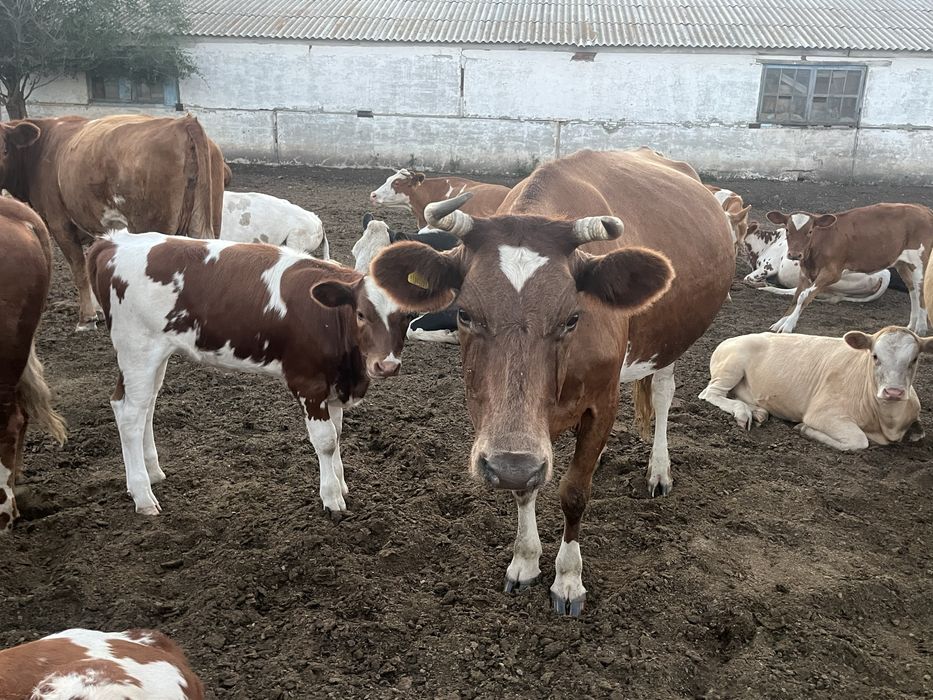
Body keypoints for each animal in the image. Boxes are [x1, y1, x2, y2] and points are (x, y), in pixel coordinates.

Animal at [88, 231, 409, 518]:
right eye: (361, 314)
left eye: (406, 316)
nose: (386, 365)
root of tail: (114, 241)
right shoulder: (308, 382)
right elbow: (327, 440)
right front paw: (331, 499)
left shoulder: (334, 384)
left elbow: (338, 434)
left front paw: (341, 485)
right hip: (136, 349)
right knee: (130, 414)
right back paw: (142, 495)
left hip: (154, 354)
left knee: (145, 406)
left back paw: (153, 472)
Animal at [699, 327, 930, 450]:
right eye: (875, 356)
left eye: (914, 359)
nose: (893, 392)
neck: (887, 423)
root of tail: (732, 338)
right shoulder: (823, 414)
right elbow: (858, 441)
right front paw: (805, 429)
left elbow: (920, 433)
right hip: (731, 366)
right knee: (711, 393)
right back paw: (743, 412)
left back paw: (758, 412)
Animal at [741, 222, 890, 303]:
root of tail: (883, 274)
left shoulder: (769, 266)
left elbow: (747, 278)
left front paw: (762, 283)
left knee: (797, 292)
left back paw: (767, 288)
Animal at [766, 204, 933, 334]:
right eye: (787, 230)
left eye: (810, 231)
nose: (794, 254)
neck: (823, 242)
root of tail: (924, 209)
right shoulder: (805, 273)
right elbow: (796, 298)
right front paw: (780, 322)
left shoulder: (831, 273)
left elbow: (803, 296)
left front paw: (788, 325)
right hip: (902, 264)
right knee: (912, 290)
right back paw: (911, 325)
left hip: (920, 261)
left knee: (920, 289)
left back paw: (921, 327)